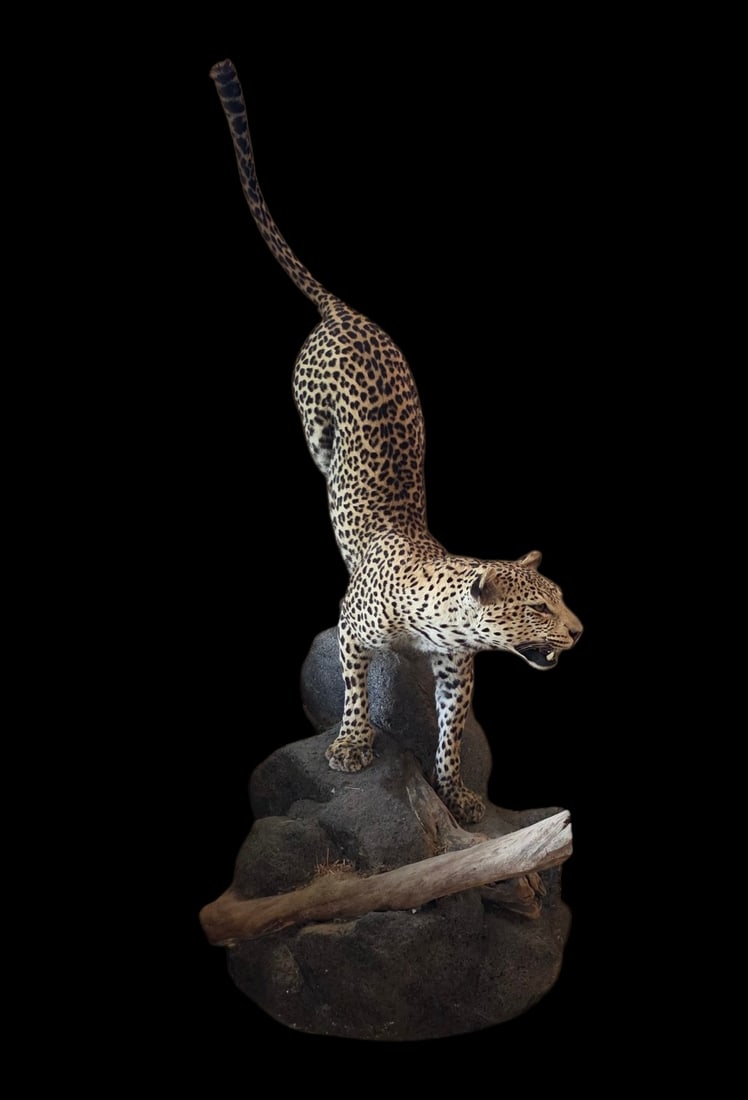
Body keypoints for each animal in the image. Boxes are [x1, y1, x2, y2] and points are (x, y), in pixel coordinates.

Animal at [210, 59, 583, 825]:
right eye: (539, 608)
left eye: (559, 600)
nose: (580, 633)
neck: (438, 622)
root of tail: (345, 311)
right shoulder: (353, 630)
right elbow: (355, 691)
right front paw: (352, 746)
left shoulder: (456, 668)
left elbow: (449, 731)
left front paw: (458, 795)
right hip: (312, 418)